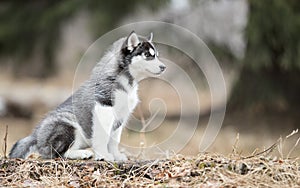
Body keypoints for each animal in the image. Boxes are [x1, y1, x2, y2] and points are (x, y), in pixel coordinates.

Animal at [8, 31, 166, 161]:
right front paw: (103, 155)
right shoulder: (103, 107)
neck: (125, 81)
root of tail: (35, 135)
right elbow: (102, 137)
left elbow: (114, 139)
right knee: (56, 154)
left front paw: (116, 155)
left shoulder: (121, 116)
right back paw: (81, 154)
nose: (164, 67)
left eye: (156, 55)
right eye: (148, 56)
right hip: (68, 124)